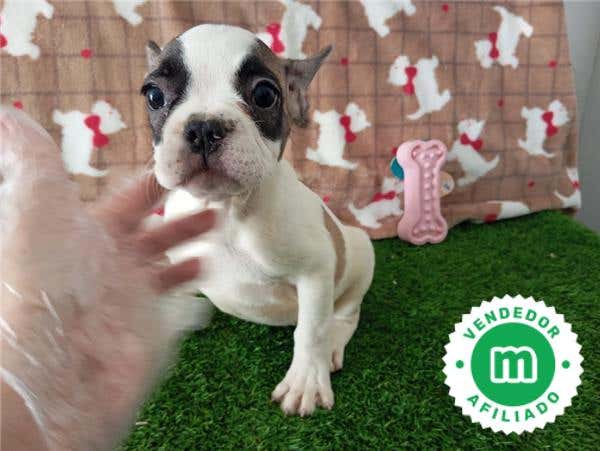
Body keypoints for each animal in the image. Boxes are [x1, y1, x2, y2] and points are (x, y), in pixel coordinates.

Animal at [142, 25, 375, 416]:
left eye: (265, 95)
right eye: (154, 96)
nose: (204, 127)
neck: (225, 211)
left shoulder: (316, 271)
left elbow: (310, 330)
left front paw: (305, 381)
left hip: (359, 255)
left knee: (345, 314)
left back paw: (332, 344)